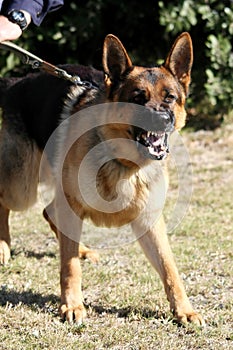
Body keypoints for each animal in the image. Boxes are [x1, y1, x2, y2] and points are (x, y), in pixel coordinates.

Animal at [0, 32, 204, 326]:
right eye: (137, 98)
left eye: (170, 98)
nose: (161, 119)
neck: (125, 164)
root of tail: (15, 82)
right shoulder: (71, 205)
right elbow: (69, 266)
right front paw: (72, 305)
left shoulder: (150, 222)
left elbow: (170, 268)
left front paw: (185, 310)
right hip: (22, 187)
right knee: (6, 203)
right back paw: (3, 247)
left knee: (50, 213)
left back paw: (82, 249)